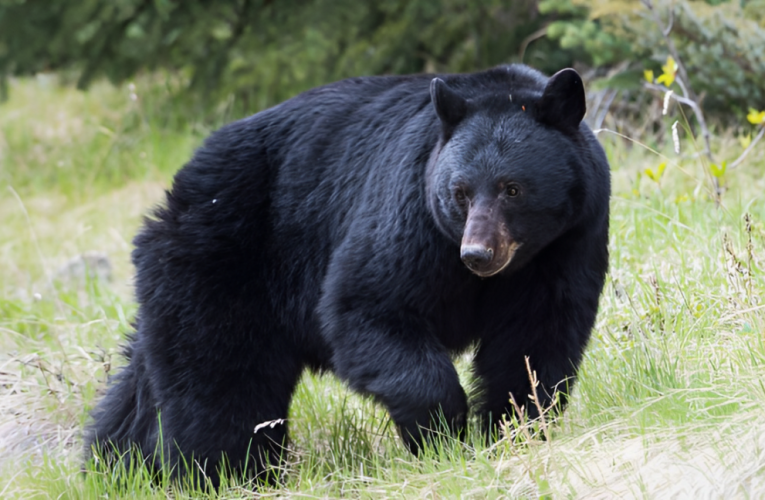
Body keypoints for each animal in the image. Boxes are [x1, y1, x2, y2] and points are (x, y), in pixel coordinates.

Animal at [86, 64, 608, 486]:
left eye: (512, 188)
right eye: (460, 191)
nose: (477, 254)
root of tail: (178, 188)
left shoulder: (567, 242)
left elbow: (533, 341)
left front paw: (513, 430)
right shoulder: (411, 217)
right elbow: (368, 306)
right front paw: (442, 433)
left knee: (148, 382)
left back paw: (114, 461)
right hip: (218, 262)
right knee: (219, 378)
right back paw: (223, 474)